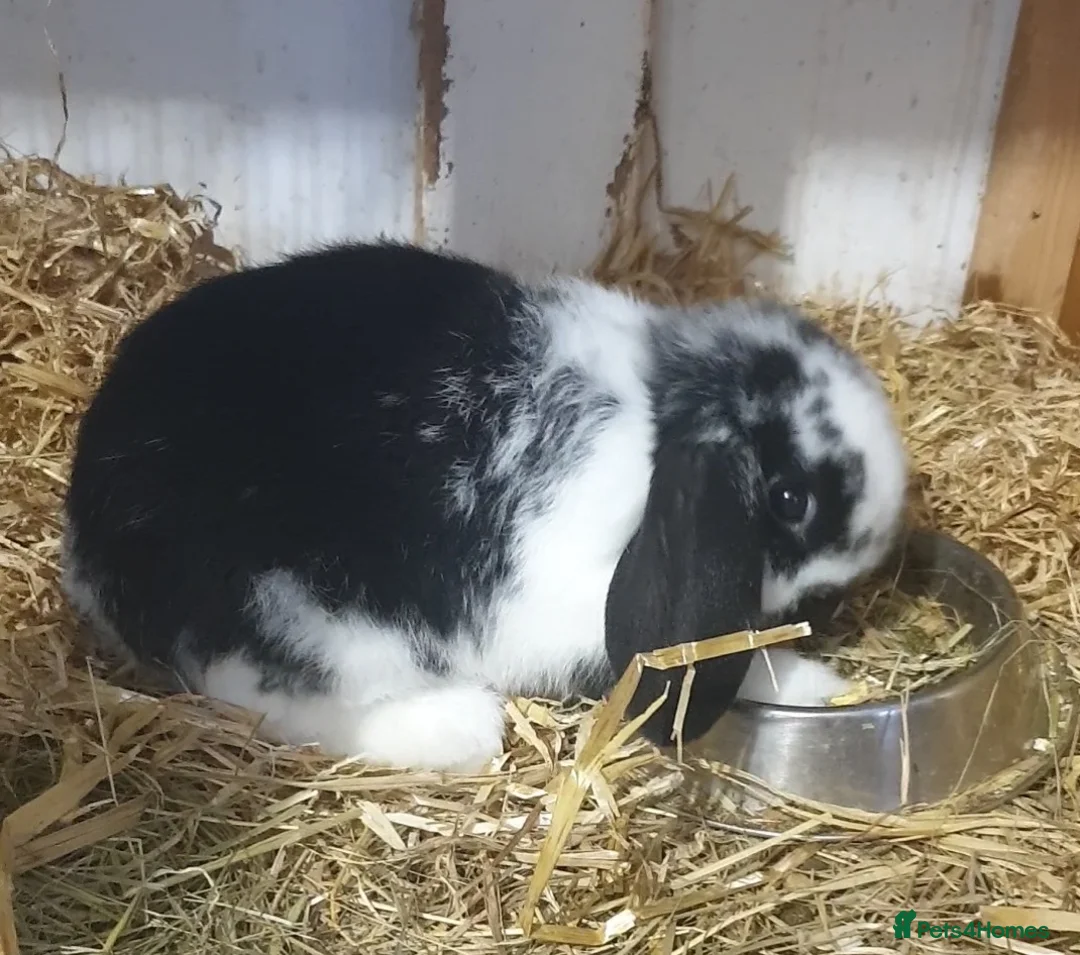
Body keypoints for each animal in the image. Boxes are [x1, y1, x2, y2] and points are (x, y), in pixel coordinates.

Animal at [61, 240, 908, 774]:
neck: (659, 415)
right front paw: (819, 684)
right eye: (789, 496)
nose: (867, 552)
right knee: (276, 700)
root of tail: (86, 544)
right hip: (305, 620)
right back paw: (463, 729)